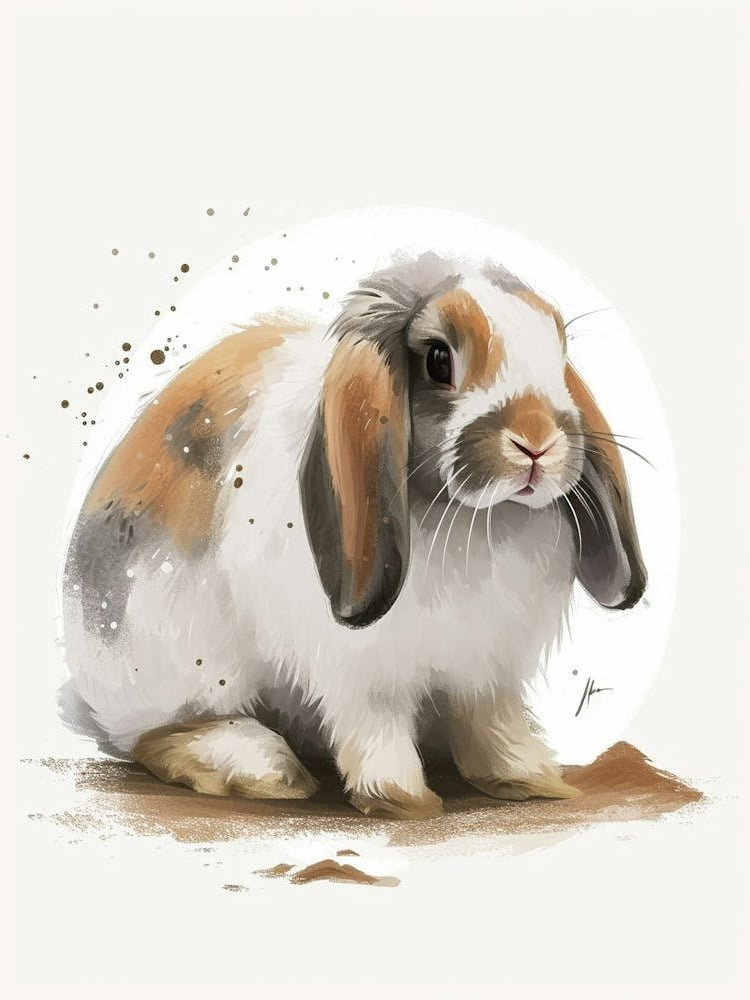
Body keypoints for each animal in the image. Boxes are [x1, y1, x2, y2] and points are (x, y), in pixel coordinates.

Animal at [61, 250, 646, 818]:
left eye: (558, 345)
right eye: (438, 359)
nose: (537, 442)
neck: (470, 518)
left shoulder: (486, 671)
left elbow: (491, 723)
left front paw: (529, 778)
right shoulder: (361, 671)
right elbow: (377, 724)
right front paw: (402, 799)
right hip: (177, 658)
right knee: (158, 735)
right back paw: (264, 769)